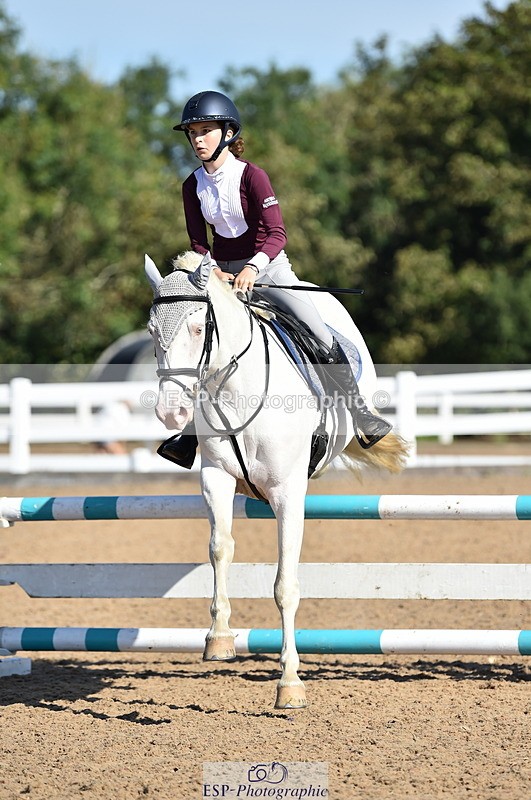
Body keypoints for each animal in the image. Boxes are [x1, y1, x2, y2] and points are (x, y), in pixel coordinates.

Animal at [145, 250, 408, 709]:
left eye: (198, 328)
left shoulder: (287, 494)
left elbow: (285, 586)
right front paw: (219, 639)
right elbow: (220, 549)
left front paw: (290, 684)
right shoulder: (215, 478)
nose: (171, 413)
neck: (235, 391)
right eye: (151, 331)